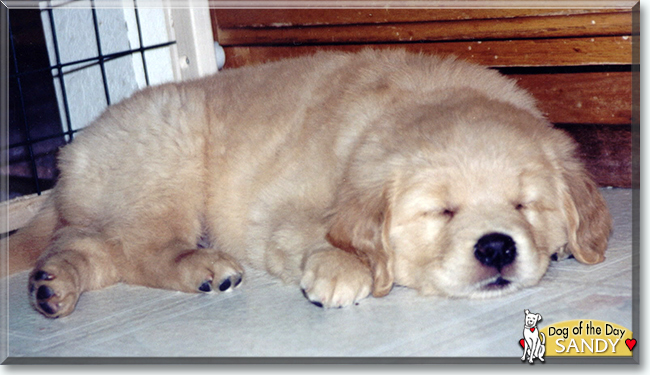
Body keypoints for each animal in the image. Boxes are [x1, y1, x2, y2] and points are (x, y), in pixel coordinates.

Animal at [7, 48, 612, 318]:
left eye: (525, 205)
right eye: (442, 211)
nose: (496, 248)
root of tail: (69, 155)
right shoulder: (283, 211)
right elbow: (323, 235)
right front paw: (345, 271)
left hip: (112, 205)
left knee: (87, 246)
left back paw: (52, 286)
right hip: (165, 161)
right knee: (137, 248)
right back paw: (204, 268)